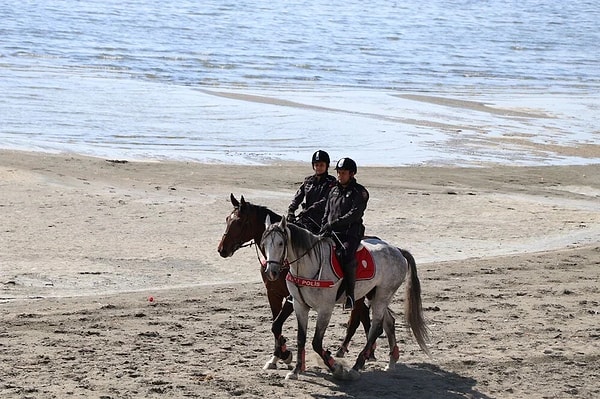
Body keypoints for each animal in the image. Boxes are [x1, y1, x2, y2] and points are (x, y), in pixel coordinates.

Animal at [218, 195, 372, 370]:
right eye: (227, 219)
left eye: (239, 222)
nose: (222, 249)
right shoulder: (273, 294)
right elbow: (275, 325)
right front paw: (277, 356)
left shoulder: (293, 299)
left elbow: (276, 325)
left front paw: (285, 355)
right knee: (362, 315)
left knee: (360, 317)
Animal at [260, 216, 428, 382]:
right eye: (264, 244)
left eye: (281, 243)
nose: (271, 271)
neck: (310, 265)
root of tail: (397, 250)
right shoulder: (299, 305)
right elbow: (301, 338)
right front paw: (295, 370)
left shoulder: (325, 309)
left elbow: (316, 343)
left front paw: (336, 368)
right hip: (374, 296)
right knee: (388, 322)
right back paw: (391, 361)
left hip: (382, 296)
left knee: (376, 328)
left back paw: (356, 366)